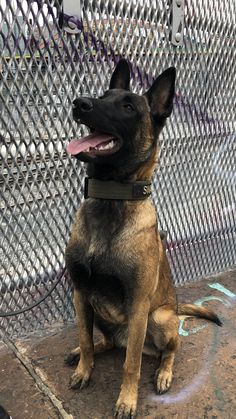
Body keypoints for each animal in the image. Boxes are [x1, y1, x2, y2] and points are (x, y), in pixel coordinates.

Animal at [65, 60, 221, 419]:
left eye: (128, 107)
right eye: (102, 95)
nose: (79, 103)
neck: (111, 200)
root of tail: (174, 307)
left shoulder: (138, 306)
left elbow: (131, 363)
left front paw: (126, 400)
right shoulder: (80, 293)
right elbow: (85, 337)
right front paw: (84, 368)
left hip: (159, 318)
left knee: (169, 349)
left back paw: (164, 373)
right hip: (97, 311)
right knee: (106, 342)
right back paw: (85, 350)